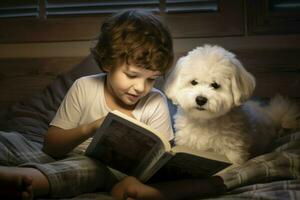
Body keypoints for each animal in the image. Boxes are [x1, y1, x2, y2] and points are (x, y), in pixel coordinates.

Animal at [164, 45, 300, 166]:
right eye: (193, 82)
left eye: (215, 85)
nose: (201, 99)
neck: (205, 121)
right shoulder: (186, 143)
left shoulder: (234, 152)